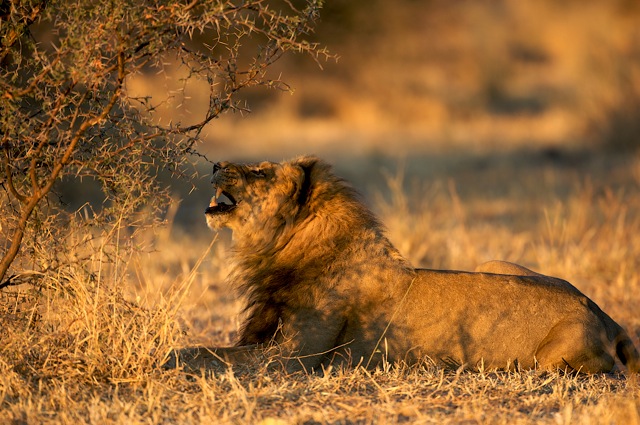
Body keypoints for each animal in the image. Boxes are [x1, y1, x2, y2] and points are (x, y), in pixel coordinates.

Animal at [168, 155, 639, 374]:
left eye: (260, 173)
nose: (215, 164)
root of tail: (606, 316)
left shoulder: (292, 358)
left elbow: (207, 353)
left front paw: (167, 357)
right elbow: (215, 350)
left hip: (547, 361)